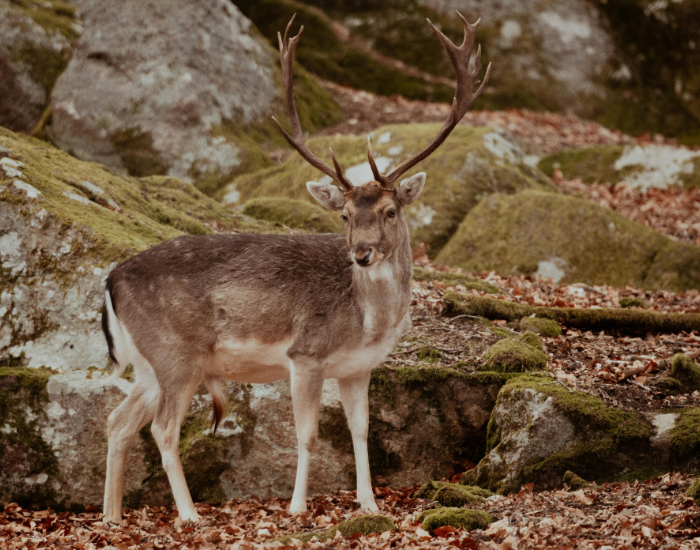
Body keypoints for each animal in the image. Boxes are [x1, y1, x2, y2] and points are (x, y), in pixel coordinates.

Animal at [100, 12, 490, 524]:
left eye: (390, 211)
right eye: (344, 215)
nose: (361, 253)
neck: (368, 322)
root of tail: (110, 279)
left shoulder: (357, 368)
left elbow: (361, 430)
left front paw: (369, 504)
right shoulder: (305, 354)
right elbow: (307, 433)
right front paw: (298, 505)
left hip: (148, 365)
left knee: (118, 420)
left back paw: (111, 515)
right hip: (174, 355)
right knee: (163, 429)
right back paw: (189, 513)